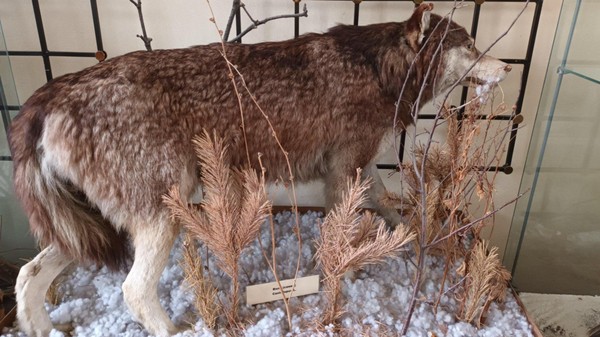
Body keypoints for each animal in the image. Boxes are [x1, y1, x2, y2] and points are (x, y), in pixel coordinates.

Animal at [9, 3, 510, 336]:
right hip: (163, 214)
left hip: (90, 232)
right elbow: (342, 236)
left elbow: (394, 209)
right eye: (470, 47)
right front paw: (344, 276)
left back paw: (39, 328)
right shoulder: (343, 170)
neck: (378, 69)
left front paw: (412, 236)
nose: (507, 67)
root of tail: (52, 94)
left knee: (28, 276)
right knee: (133, 291)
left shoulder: (362, 168)